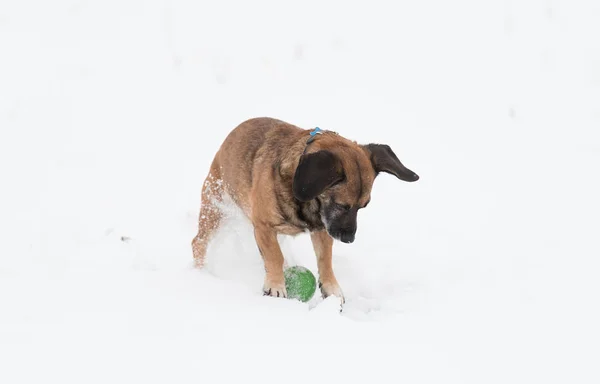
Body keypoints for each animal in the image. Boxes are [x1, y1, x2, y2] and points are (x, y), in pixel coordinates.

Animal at [191, 115, 418, 302]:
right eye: (342, 205)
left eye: (363, 206)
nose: (349, 239)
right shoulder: (264, 226)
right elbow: (274, 255)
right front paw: (276, 285)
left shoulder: (322, 229)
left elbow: (325, 259)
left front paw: (331, 287)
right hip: (217, 208)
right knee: (198, 242)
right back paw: (200, 273)